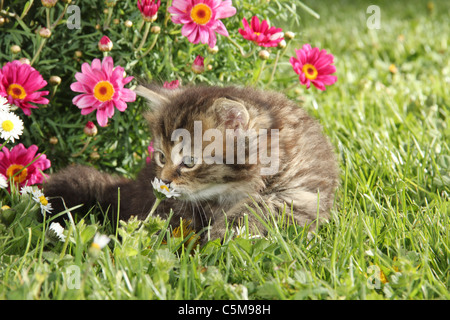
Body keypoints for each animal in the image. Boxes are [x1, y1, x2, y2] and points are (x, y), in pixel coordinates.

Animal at [44, 84, 340, 240]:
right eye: (161, 156)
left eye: (188, 162)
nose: (163, 181)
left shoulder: (302, 193)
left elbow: (261, 208)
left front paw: (223, 236)